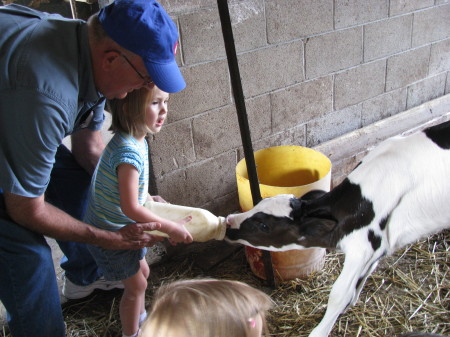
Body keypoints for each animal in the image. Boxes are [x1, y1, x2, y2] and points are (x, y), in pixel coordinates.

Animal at [225, 119, 450, 336]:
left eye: (264, 225)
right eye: (258, 204)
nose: (229, 222)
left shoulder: (363, 247)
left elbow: (339, 294)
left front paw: (320, 331)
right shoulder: (378, 246)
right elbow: (363, 276)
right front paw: (350, 304)